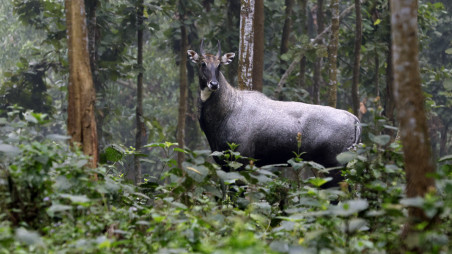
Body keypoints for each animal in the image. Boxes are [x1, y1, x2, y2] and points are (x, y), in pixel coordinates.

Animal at [187, 39, 360, 187]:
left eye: (219, 66)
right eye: (202, 63)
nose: (214, 84)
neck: (228, 110)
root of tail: (355, 120)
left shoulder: (241, 161)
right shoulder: (224, 163)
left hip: (334, 165)